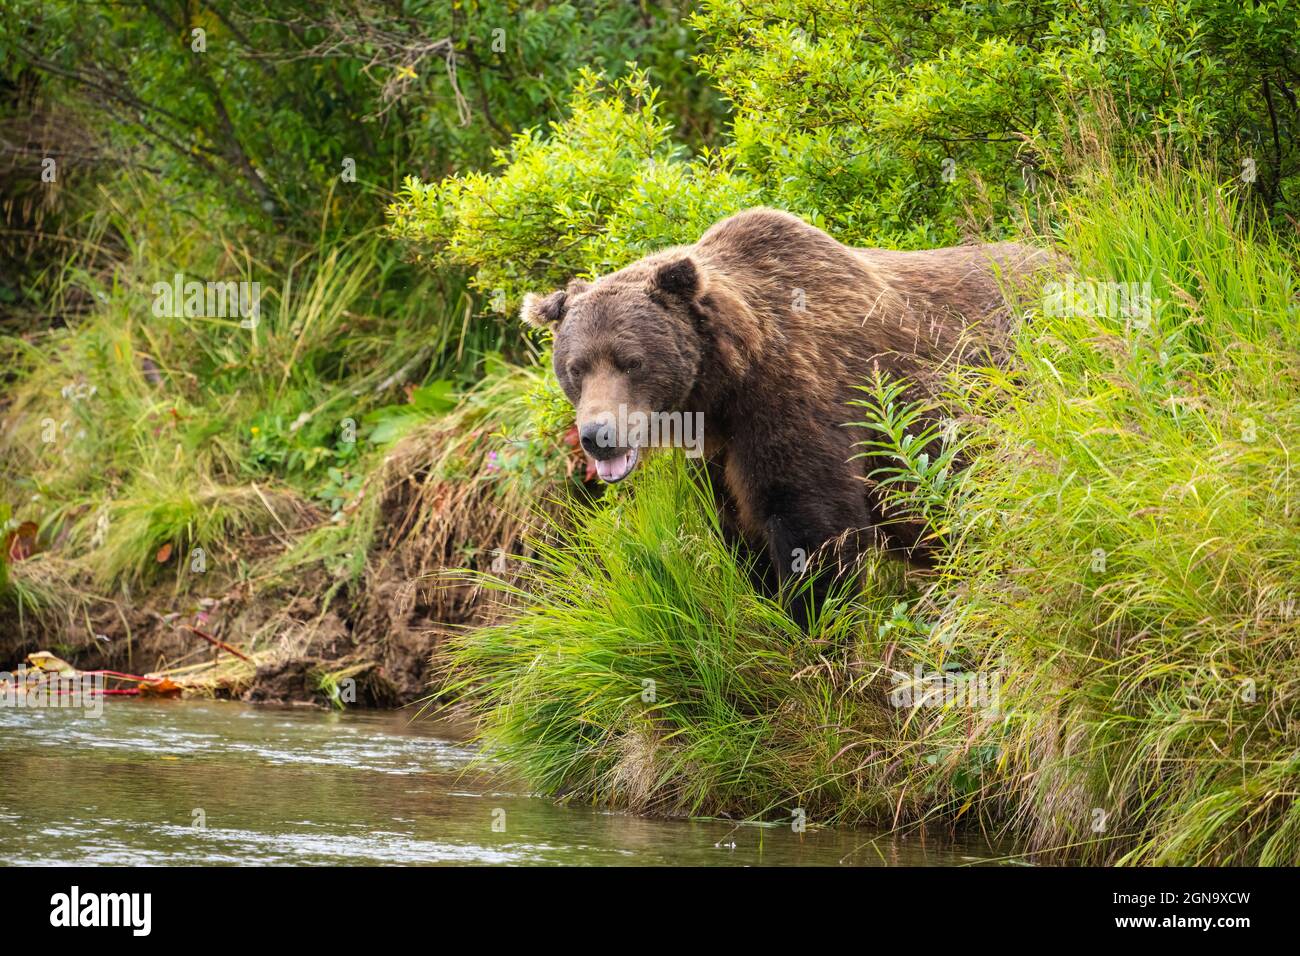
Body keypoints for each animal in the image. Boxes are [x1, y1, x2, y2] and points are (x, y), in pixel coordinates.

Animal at [522, 208, 1050, 621]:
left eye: (631, 361)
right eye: (576, 368)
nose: (598, 435)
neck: (723, 388)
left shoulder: (797, 396)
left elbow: (811, 526)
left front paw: (814, 623)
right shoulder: (718, 457)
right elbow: (739, 531)